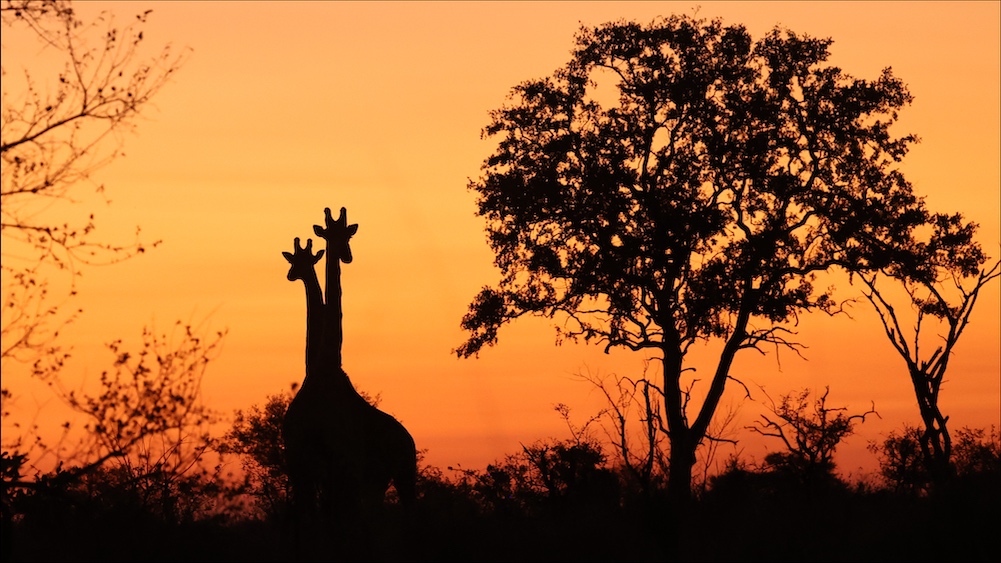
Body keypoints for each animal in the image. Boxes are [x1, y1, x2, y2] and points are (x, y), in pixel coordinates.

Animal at [281, 207, 418, 525]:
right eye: (294, 260)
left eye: (349, 234)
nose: (347, 255)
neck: (324, 368)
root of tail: (410, 441)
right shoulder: (316, 463)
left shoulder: (338, 463)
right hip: (373, 478)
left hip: (401, 472)